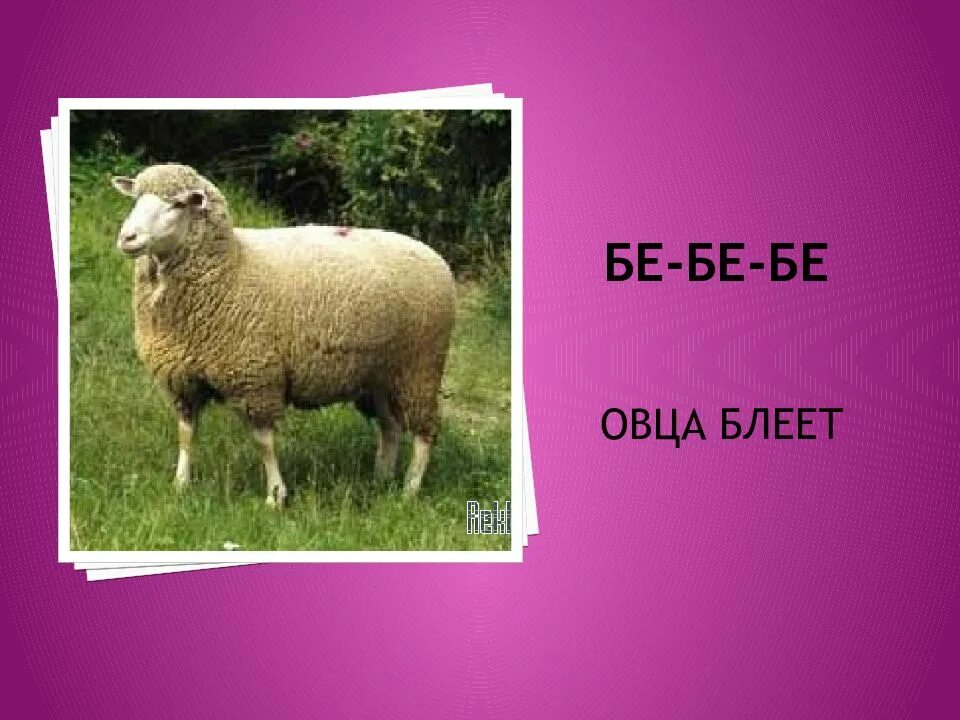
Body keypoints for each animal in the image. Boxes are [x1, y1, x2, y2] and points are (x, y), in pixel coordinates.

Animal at [110, 163, 455, 507]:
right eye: (136, 198)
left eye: (178, 204)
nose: (127, 237)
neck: (234, 265)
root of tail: (431, 253)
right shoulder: (181, 378)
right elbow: (185, 433)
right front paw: (181, 484)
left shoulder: (255, 377)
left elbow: (263, 442)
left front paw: (275, 495)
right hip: (381, 373)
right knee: (390, 427)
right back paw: (381, 480)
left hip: (420, 366)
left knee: (424, 431)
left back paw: (409, 490)